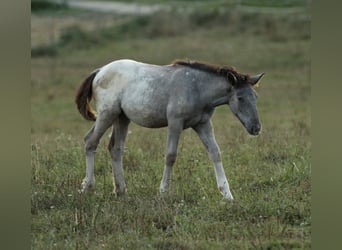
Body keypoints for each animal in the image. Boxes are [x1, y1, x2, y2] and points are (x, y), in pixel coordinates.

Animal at [75, 58, 264, 199]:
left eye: (255, 96)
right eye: (240, 98)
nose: (256, 128)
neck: (197, 89)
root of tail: (99, 71)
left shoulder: (203, 124)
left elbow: (215, 152)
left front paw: (227, 194)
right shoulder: (175, 123)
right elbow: (171, 155)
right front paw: (163, 191)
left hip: (122, 118)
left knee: (115, 148)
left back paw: (121, 191)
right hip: (107, 114)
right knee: (90, 142)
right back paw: (88, 187)